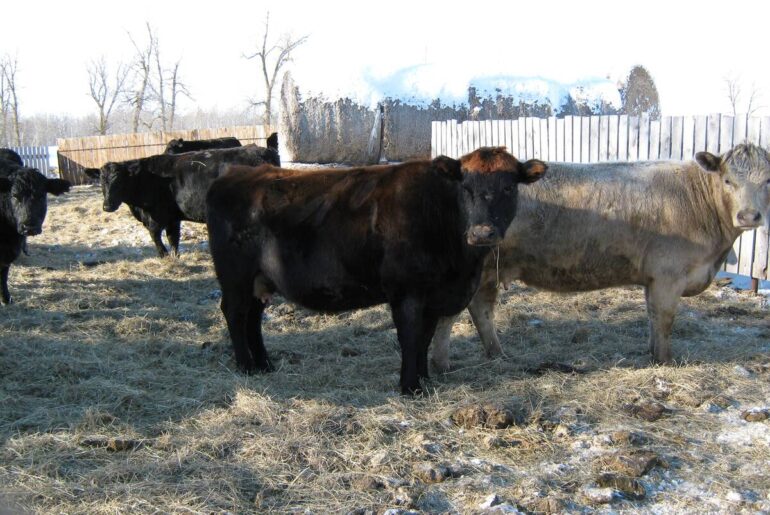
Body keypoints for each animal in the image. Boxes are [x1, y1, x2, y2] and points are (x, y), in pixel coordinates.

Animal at [84, 138, 280, 257]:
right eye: (101, 182)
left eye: (119, 181)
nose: (107, 206)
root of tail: (265, 151)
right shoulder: (173, 217)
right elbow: (173, 238)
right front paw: (174, 256)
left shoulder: (158, 216)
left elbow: (155, 235)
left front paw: (163, 256)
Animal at [206, 147, 546, 395]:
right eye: (465, 187)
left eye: (508, 188)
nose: (482, 232)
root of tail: (237, 174)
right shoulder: (407, 293)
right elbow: (410, 336)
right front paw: (410, 387)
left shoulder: (434, 297)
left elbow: (424, 338)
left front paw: (424, 377)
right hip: (235, 277)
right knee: (235, 313)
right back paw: (246, 366)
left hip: (259, 280)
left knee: (253, 318)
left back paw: (264, 365)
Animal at [430, 142, 770, 372]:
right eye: (728, 180)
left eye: (768, 181)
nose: (749, 216)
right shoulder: (668, 276)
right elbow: (664, 319)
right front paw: (665, 361)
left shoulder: (653, 279)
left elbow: (652, 316)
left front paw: (652, 353)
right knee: (453, 314)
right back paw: (442, 364)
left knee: (481, 310)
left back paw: (496, 354)